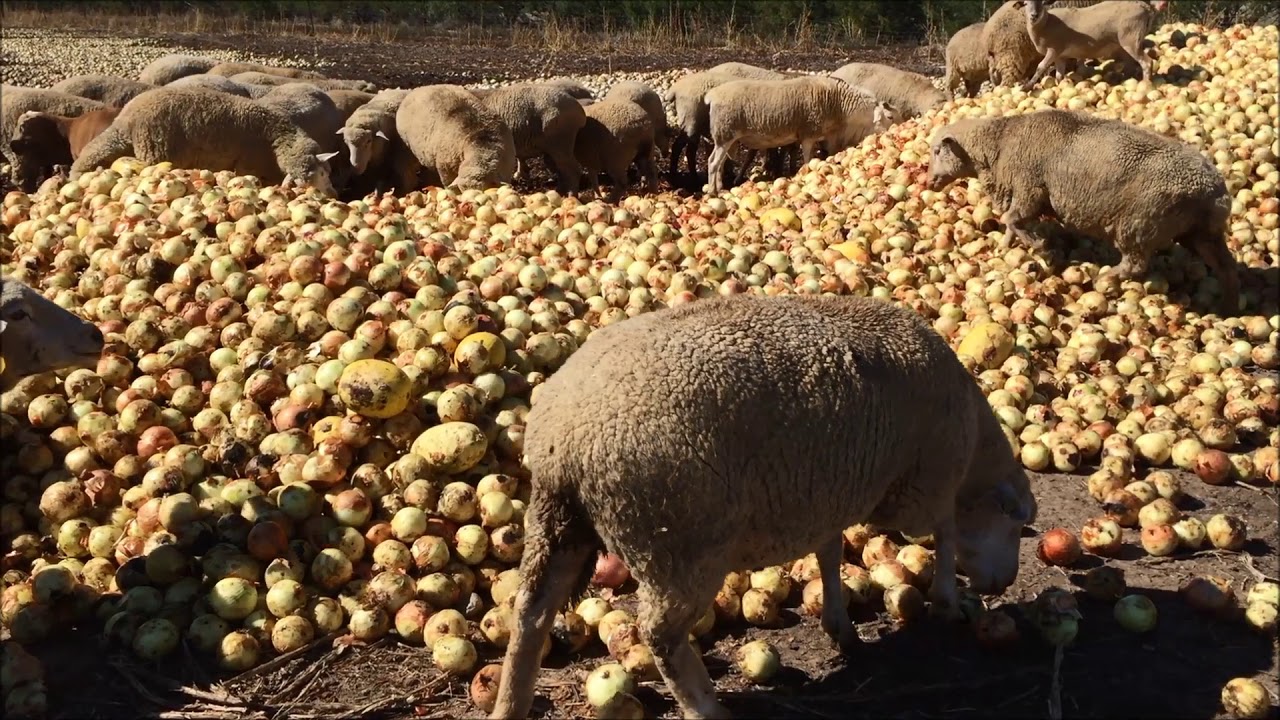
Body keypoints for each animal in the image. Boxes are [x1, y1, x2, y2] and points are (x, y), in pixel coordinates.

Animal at [71, 87, 339, 197]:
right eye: (322, 174)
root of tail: (126, 119)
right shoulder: (247, 166)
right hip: (155, 151)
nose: (334, 194)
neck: (276, 137)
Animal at [488, 293, 1038, 720]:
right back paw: (706, 707)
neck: (972, 446)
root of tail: (566, 438)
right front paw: (947, 599)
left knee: (531, 613)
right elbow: (945, 531)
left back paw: (510, 703)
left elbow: (830, 556)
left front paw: (840, 627)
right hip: (677, 544)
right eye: (1014, 524)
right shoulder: (922, 485)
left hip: (560, 523)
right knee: (659, 634)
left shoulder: (826, 496)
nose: (1004, 583)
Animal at [704, 76, 898, 194]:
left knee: (718, 163)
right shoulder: (808, 134)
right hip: (725, 133)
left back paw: (719, 187)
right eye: (889, 117)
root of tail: (711, 95)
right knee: (713, 162)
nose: (893, 133)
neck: (839, 104)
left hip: (725, 137)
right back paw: (713, 192)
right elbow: (807, 160)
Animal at [926, 108, 1239, 315]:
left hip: (1139, 223)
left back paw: (1106, 277)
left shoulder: (1030, 189)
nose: (927, 181)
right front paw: (1008, 245)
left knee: (1135, 264)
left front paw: (1039, 246)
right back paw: (1227, 306)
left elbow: (1012, 219)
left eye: (937, 151)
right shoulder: (1022, 191)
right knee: (1226, 266)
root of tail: (1216, 192)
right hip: (1200, 232)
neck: (1000, 144)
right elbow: (1009, 223)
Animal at [1020, 0, 1165, 89]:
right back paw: (1125, 81)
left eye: (1043, 2)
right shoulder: (1060, 56)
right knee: (1130, 64)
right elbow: (1059, 75)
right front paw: (1059, 85)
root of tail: (1145, 7)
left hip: (1131, 39)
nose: (1034, 15)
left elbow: (1040, 67)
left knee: (1146, 62)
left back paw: (1146, 83)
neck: (1046, 24)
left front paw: (1027, 86)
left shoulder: (1054, 49)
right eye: (1025, 3)